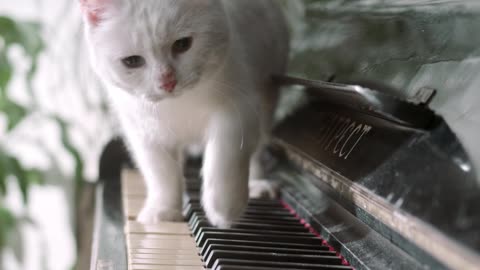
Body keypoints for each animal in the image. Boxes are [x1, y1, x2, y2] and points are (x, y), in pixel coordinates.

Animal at [79, 0, 288, 228]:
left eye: (182, 44)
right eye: (132, 61)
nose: (167, 82)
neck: (178, 104)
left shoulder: (239, 107)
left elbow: (225, 154)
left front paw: (224, 206)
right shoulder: (142, 130)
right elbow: (162, 174)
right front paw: (163, 210)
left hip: (267, 96)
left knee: (256, 149)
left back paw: (256, 184)